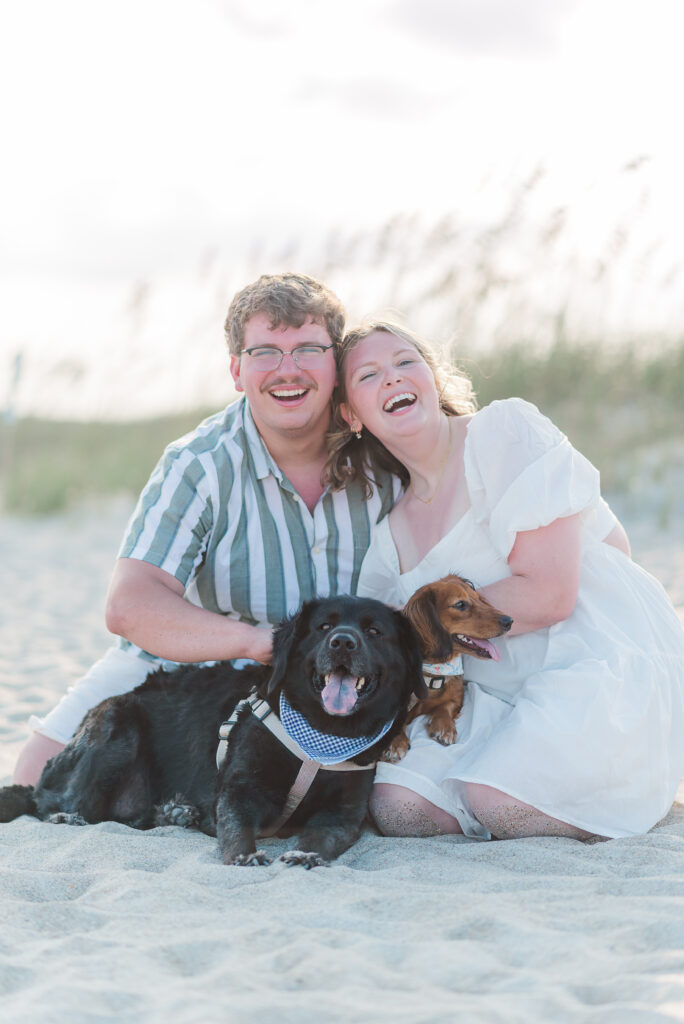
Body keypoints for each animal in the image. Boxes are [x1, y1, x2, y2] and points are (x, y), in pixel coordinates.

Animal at [1, 598, 428, 868]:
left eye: (374, 631)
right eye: (323, 626)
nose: (342, 641)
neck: (319, 737)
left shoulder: (343, 814)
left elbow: (322, 837)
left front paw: (305, 854)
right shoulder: (238, 790)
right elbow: (237, 827)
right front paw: (245, 855)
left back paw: (177, 811)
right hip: (116, 725)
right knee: (54, 801)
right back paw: (67, 816)